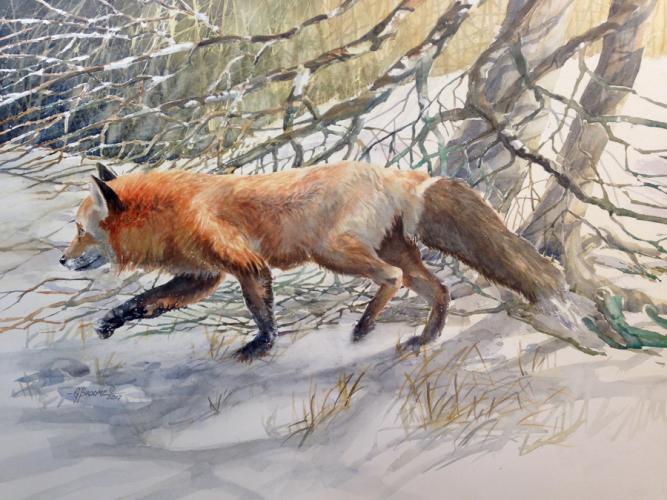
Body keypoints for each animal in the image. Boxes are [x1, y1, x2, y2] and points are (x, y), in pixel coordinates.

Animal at [60, 161, 564, 360]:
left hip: (334, 252)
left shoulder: (246, 264)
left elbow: (262, 312)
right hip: (387, 251)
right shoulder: (203, 275)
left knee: (392, 279)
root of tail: (392, 173)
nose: (62, 260)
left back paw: (364, 327)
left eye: (81, 231)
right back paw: (424, 338)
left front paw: (260, 348)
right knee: (437, 288)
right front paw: (109, 322)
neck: (171, 212)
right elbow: (143, 303)